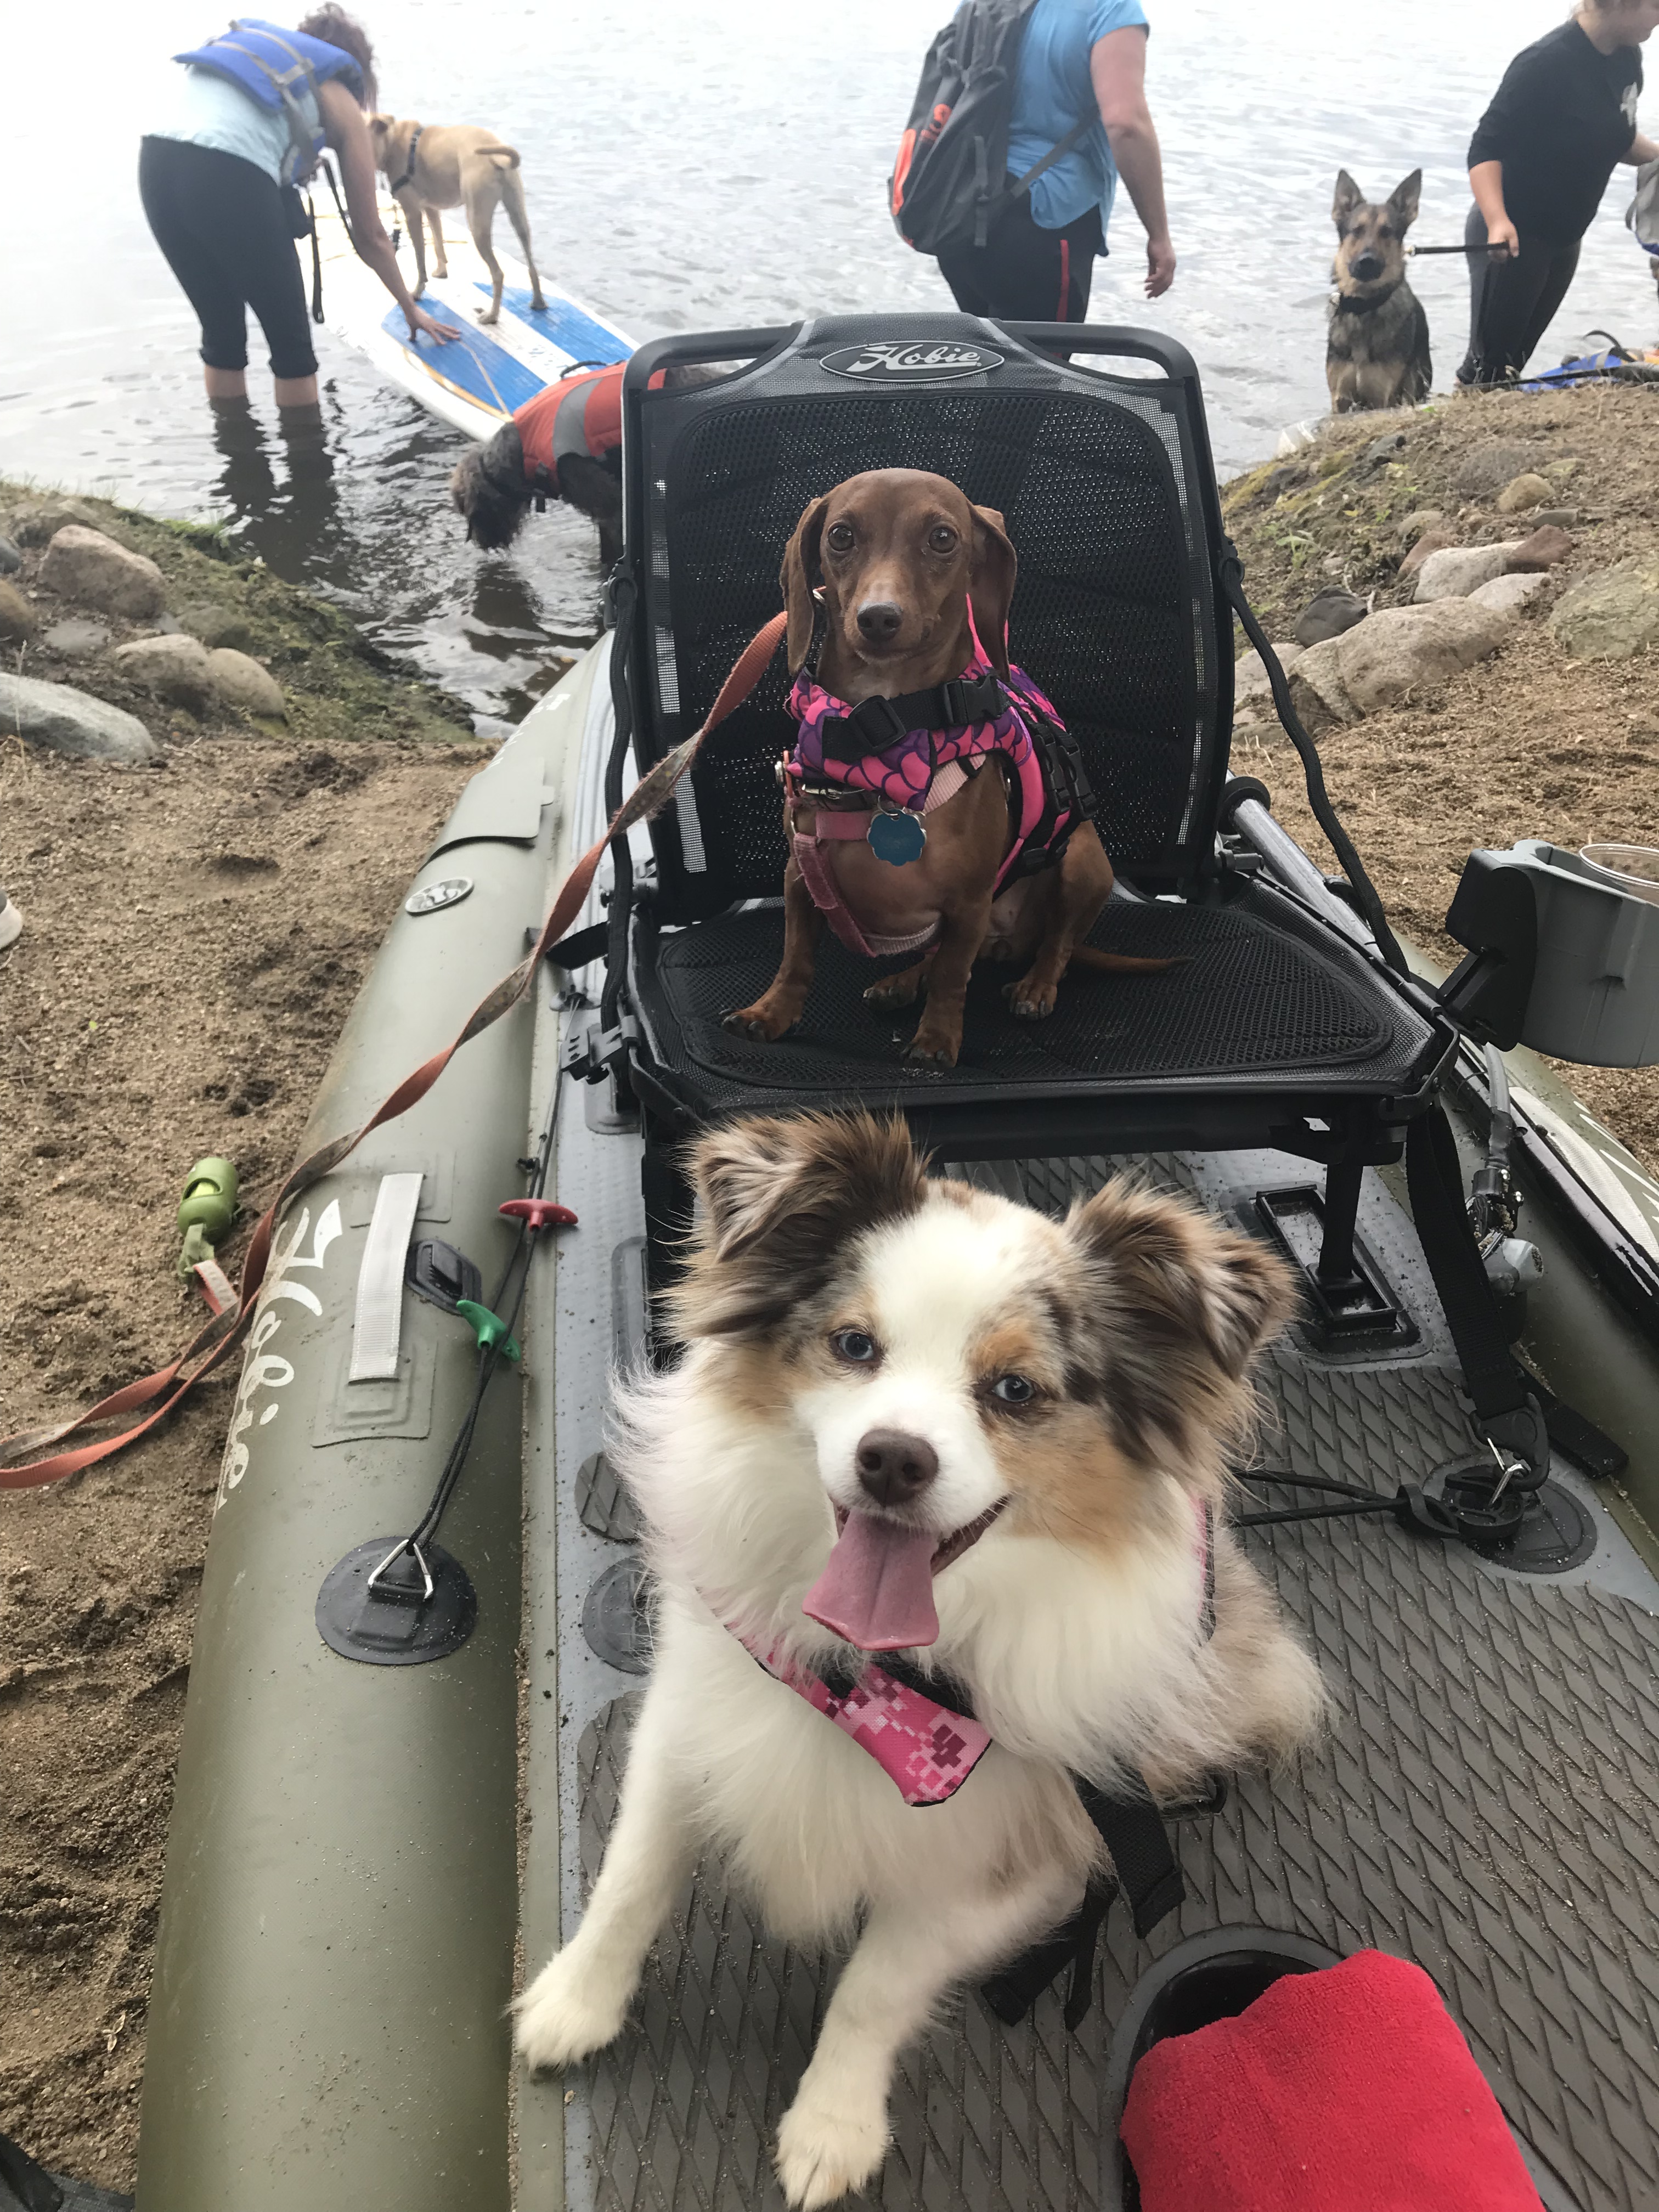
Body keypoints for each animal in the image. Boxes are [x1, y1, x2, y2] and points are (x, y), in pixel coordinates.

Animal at [368, 116, 544, 326]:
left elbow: (420, 260)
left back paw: (492, 316)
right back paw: (538, 302)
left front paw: (417, 292)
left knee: (498, 273)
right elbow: (438, 243)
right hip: (518, 214)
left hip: (477, 223)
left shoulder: (412, 214)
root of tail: (497, 157)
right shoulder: (432, 209)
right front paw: (441, 271)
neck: (393, 138)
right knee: (532, 264)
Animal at [514, 1110, 1325, 2209]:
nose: (893, 1458)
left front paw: (832, 2124)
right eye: (854, 1344)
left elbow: (875, 1987)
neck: (876, 1684)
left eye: (1014, 1390)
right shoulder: (687, 1728)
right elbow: (630, 1881)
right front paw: (575, 2000)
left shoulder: (1012, 1865)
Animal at [721, 469, 1174, 1069]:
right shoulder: (801, 875)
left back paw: (1035, 985)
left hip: (1081, 862)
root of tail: (1011, 939)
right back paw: (901, 981)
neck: (887, 730)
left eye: (942, 538)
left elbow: (953, 977)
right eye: (840, 536)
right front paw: (771, 1013)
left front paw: (937, 1039)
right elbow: (796, 957)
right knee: (945, 954)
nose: (878, 618)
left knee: (1056, 944)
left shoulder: (969, 902)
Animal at [1327, 169, 1432, 412]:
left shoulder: (1381, 398)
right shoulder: (1340, 398)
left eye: (1387, 232)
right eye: (1356, 231)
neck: (1364, 306)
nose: (1367, 262)